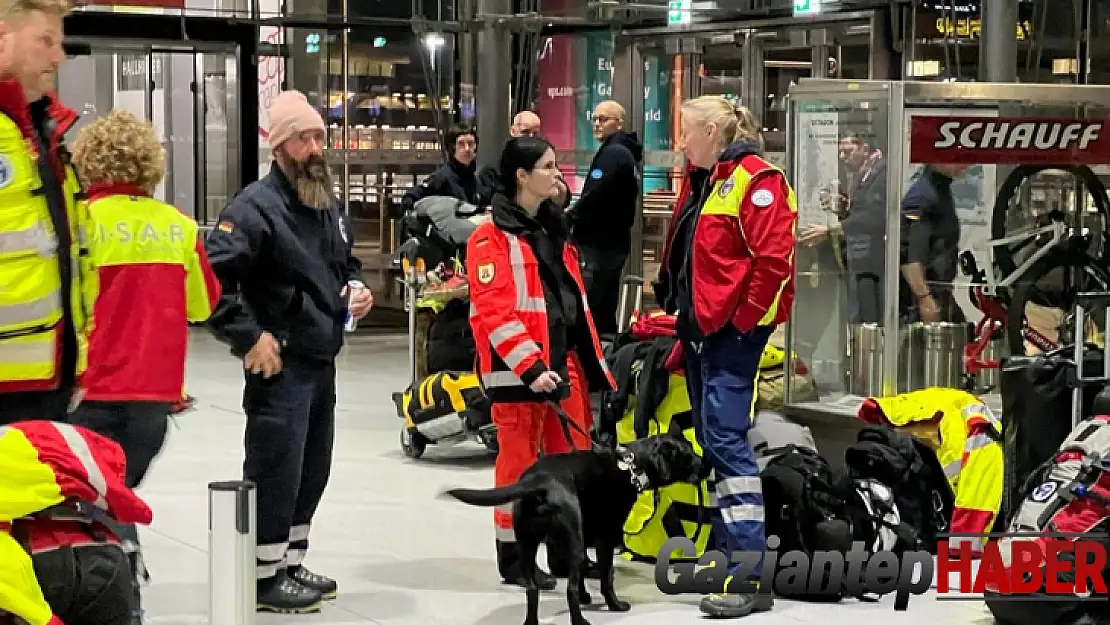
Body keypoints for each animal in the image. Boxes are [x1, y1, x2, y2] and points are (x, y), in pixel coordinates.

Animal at [441, 432, 701, 625]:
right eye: (688, 454)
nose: (706, 463)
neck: (631, 464)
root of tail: (537, 482)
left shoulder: (584, 538)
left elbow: (585, 571)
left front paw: (588, 596)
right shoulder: (605, 540)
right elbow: (606, 578)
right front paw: (614, 605)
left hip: (528, 546)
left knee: (532, 589)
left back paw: (531, 622)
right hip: (572, 543)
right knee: (570, 589)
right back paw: (580, 621)